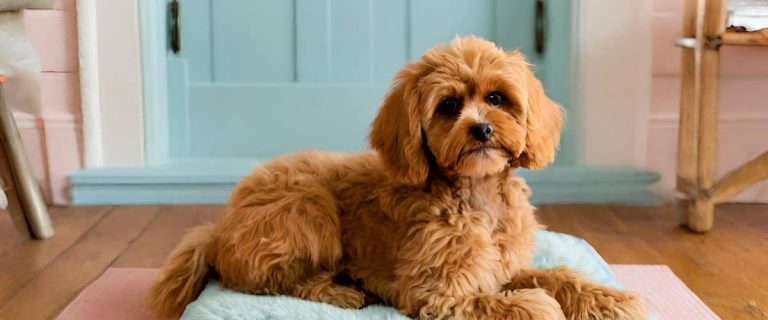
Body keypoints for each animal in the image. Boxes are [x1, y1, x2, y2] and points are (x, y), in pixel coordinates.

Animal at [146, 36, 648, 318]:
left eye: (497, 98)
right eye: (449, 105)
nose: (481, 129)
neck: (476, 194)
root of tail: (219, 228)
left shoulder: (501, 266)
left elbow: (554, 275)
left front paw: (607, 299)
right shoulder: (437, 291)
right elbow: (515, 302)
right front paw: (541, 307)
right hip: (306, 209)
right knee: (273, 280)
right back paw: (343, 292)